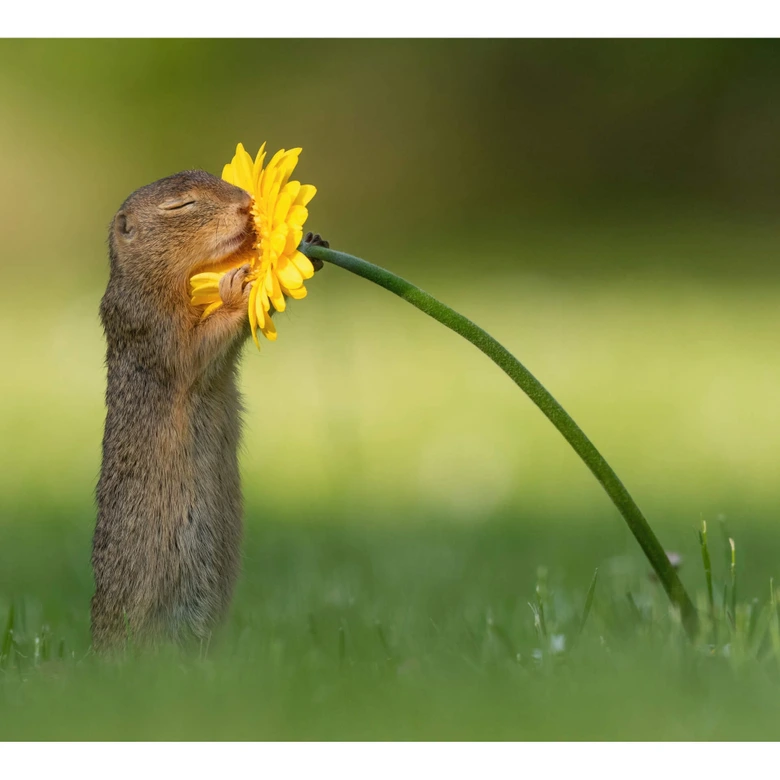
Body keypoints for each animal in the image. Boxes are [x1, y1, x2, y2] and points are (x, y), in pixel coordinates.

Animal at [92, 169, 327, 650]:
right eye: (181, 205)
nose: (245, 204)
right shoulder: (153, 327)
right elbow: (196, 349)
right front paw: (236, 290)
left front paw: (308, 244)